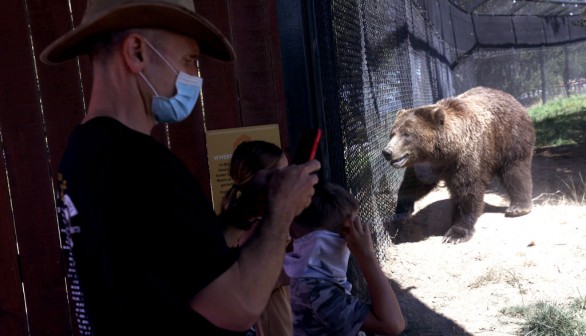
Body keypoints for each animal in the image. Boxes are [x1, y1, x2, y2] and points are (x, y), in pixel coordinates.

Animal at [380, 86, 532, 244]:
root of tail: (511, 98)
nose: (387, 152)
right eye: (392, 133)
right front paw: (400, 212)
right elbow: (414, 185)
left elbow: (466, 191)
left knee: (515, 171)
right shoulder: (426, 165)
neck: (443, 153)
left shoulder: (465, 159)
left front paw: (456, 233)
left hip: (510, 137)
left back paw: (518, 207)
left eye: (406, 134)